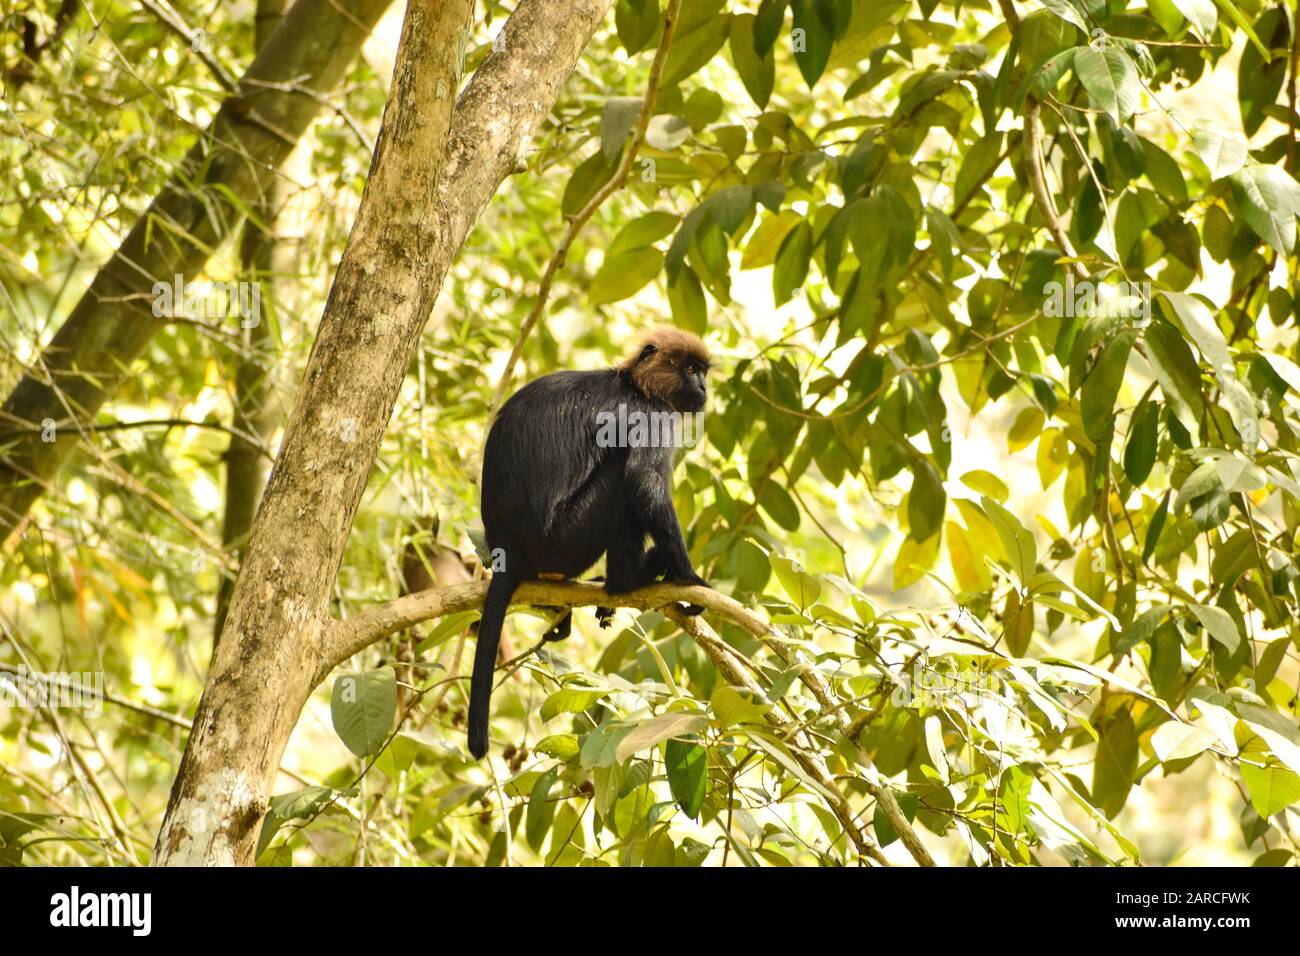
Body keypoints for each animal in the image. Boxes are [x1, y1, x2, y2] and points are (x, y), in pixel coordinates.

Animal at [467, 329, 712, 764]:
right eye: (689, 369)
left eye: (701, 371)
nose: (703, 387)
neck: (635, 385)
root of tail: (507, 551)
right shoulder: (651, 415)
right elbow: (645, 483)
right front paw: (688, 577)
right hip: (566, 537)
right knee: (624, 481)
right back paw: (628, 580)